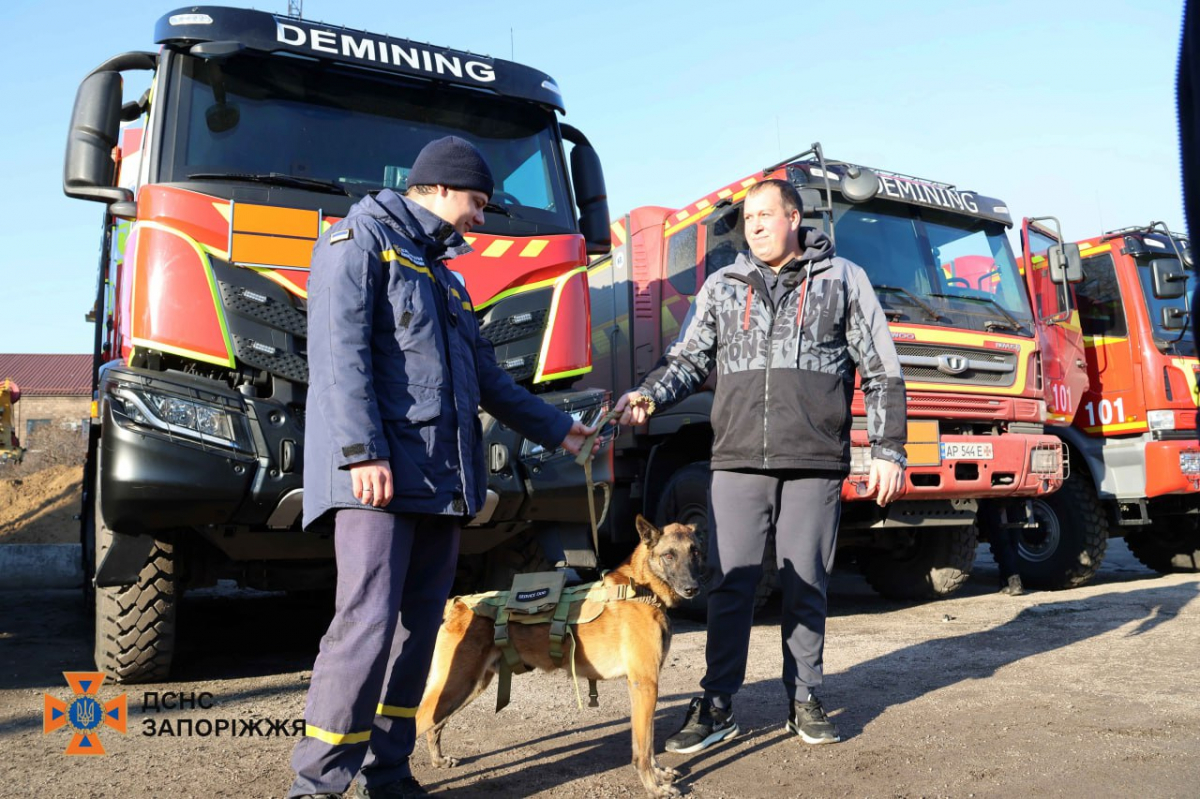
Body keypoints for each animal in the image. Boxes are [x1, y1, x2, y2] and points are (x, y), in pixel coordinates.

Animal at [420, 513, 705, 791]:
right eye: (669, 555)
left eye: (695, 552)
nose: (693, 588)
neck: (640, 588)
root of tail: (458, 604)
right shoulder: (644, 684)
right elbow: (643, 747)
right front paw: (653, 787)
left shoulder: (646, 687)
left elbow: (649, 741)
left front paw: (659, 775)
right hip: (455, 686)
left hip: (469, 686)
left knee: (434, 726)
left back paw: (438, 760)